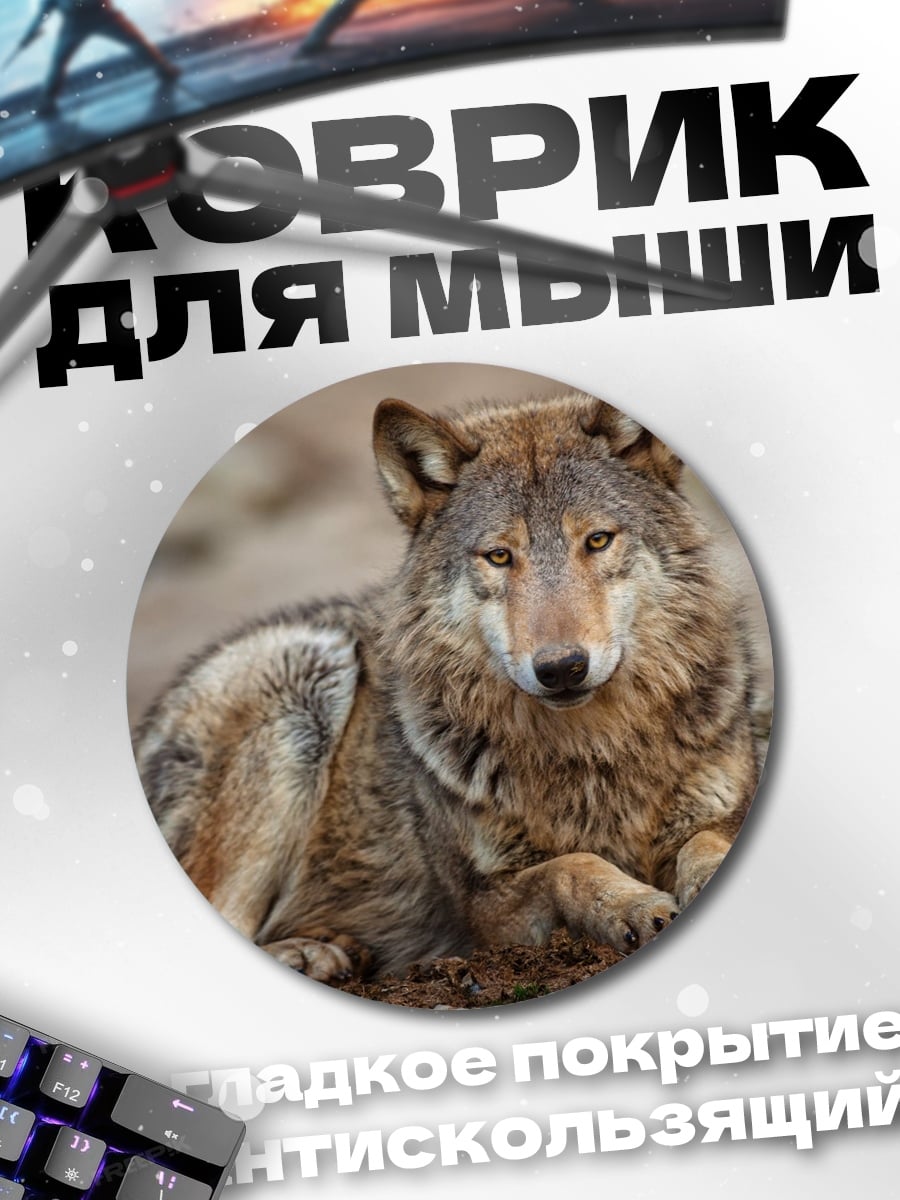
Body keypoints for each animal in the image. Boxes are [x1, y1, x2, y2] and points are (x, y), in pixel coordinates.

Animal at [134, 392, 767, 986]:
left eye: (597, 540)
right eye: (499, 556)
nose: (562, 668)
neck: (592, 753)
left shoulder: (719, 812)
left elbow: (705, 846)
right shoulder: (485, 906)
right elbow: (573, 867)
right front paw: (635, 906)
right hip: (305, 671)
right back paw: (312, 954)